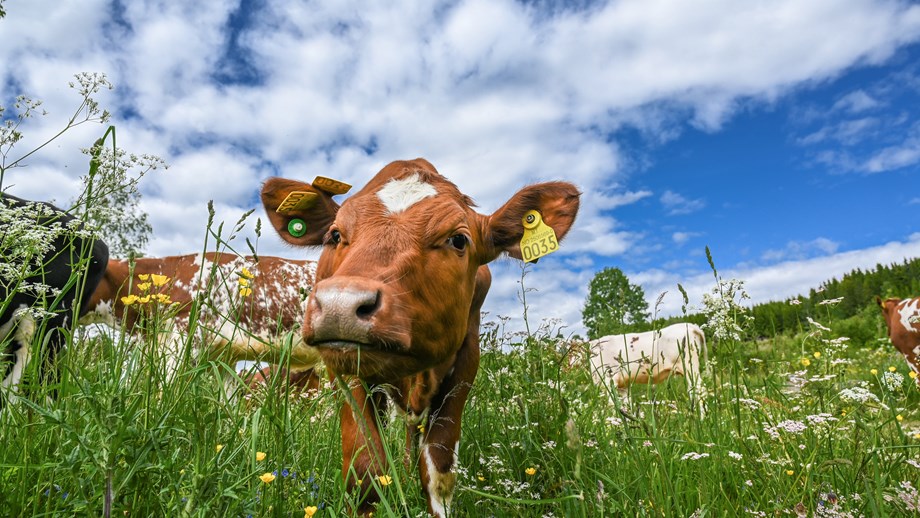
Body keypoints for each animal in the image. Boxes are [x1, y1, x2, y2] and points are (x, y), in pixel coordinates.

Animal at [258, 159, 580, 518]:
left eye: (458, 240)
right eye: (335, 234)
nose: (340, 304)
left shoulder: (466, 361)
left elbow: (438, 468)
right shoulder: (344, 369)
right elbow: (365, 466)